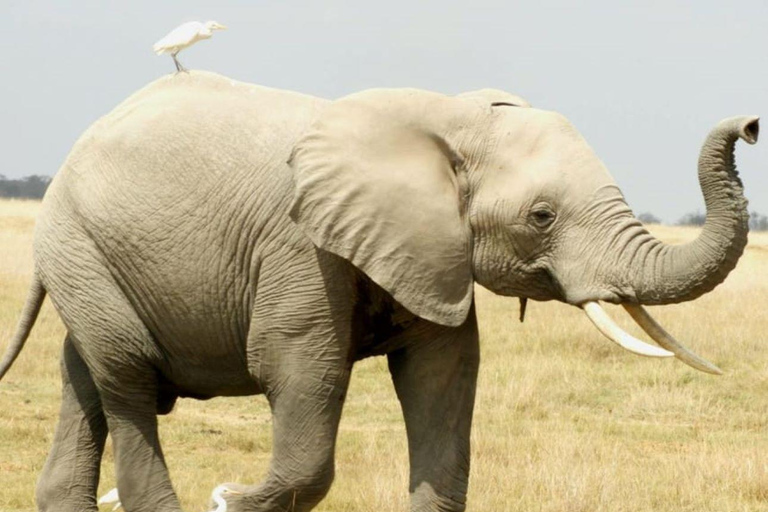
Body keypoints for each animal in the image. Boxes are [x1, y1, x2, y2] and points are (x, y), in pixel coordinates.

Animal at [0, 70, 760, 510]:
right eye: (541, 217)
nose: (751, 124)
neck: (444, 118)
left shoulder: (431, 250)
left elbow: (443, 378)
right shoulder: (299, 246)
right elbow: (301, 369)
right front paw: (230, 497)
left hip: (90, 260)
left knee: (85, 379)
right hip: (79, 245)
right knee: (127, 381)